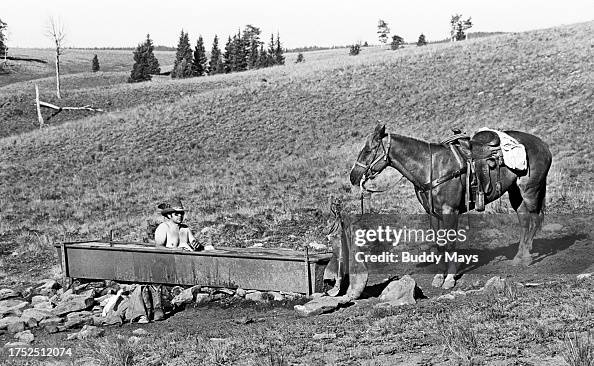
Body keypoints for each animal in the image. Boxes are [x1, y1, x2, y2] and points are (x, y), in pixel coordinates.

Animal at [346, 124, 552, 290]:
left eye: (369, 150)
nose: (353, 177)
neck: (431, 167)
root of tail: (543, 144)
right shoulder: (433, 213)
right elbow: (439, 244)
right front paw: (439, 276)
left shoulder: (449, 212)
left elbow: (450, 242)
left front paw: (450, 279)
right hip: (515, 192)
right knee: (524, 221)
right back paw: (518, 257)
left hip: (530, 190)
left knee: (534, 220)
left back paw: (526, 258)